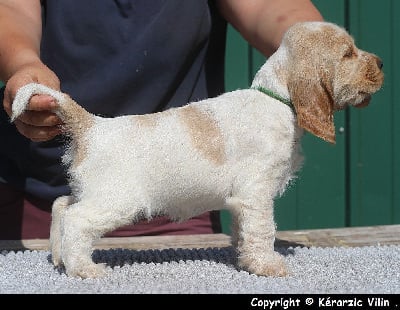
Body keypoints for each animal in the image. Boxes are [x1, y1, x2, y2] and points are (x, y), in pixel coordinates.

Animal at [10, 21, 382, 278]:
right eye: (348, 53)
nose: (379, 63)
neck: (276, 100)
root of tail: (92, 126)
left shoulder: (242, 201)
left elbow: (243, 231)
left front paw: (244, 260)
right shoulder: (257, 193)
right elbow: (263, 231)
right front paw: (267, 265)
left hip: (92, 190)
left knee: (61, 205)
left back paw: (59, 259)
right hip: (115, 200)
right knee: (76, 220)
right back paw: (83, 269)